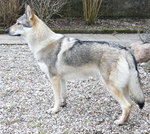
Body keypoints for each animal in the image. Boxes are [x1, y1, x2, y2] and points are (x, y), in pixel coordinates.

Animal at [5, 4, 144, 124]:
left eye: (18, 23)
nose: (6, 30)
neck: (44, 43)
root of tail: (124, 49)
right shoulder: (61, 79)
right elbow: (63, 95)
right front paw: (63, 105)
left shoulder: (54, 78)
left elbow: (56, 97)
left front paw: (54, 110)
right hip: (123, 87)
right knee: (131, 104)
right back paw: (125, 120)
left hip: (111, 86)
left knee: (127, 105)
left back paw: (120, 122)